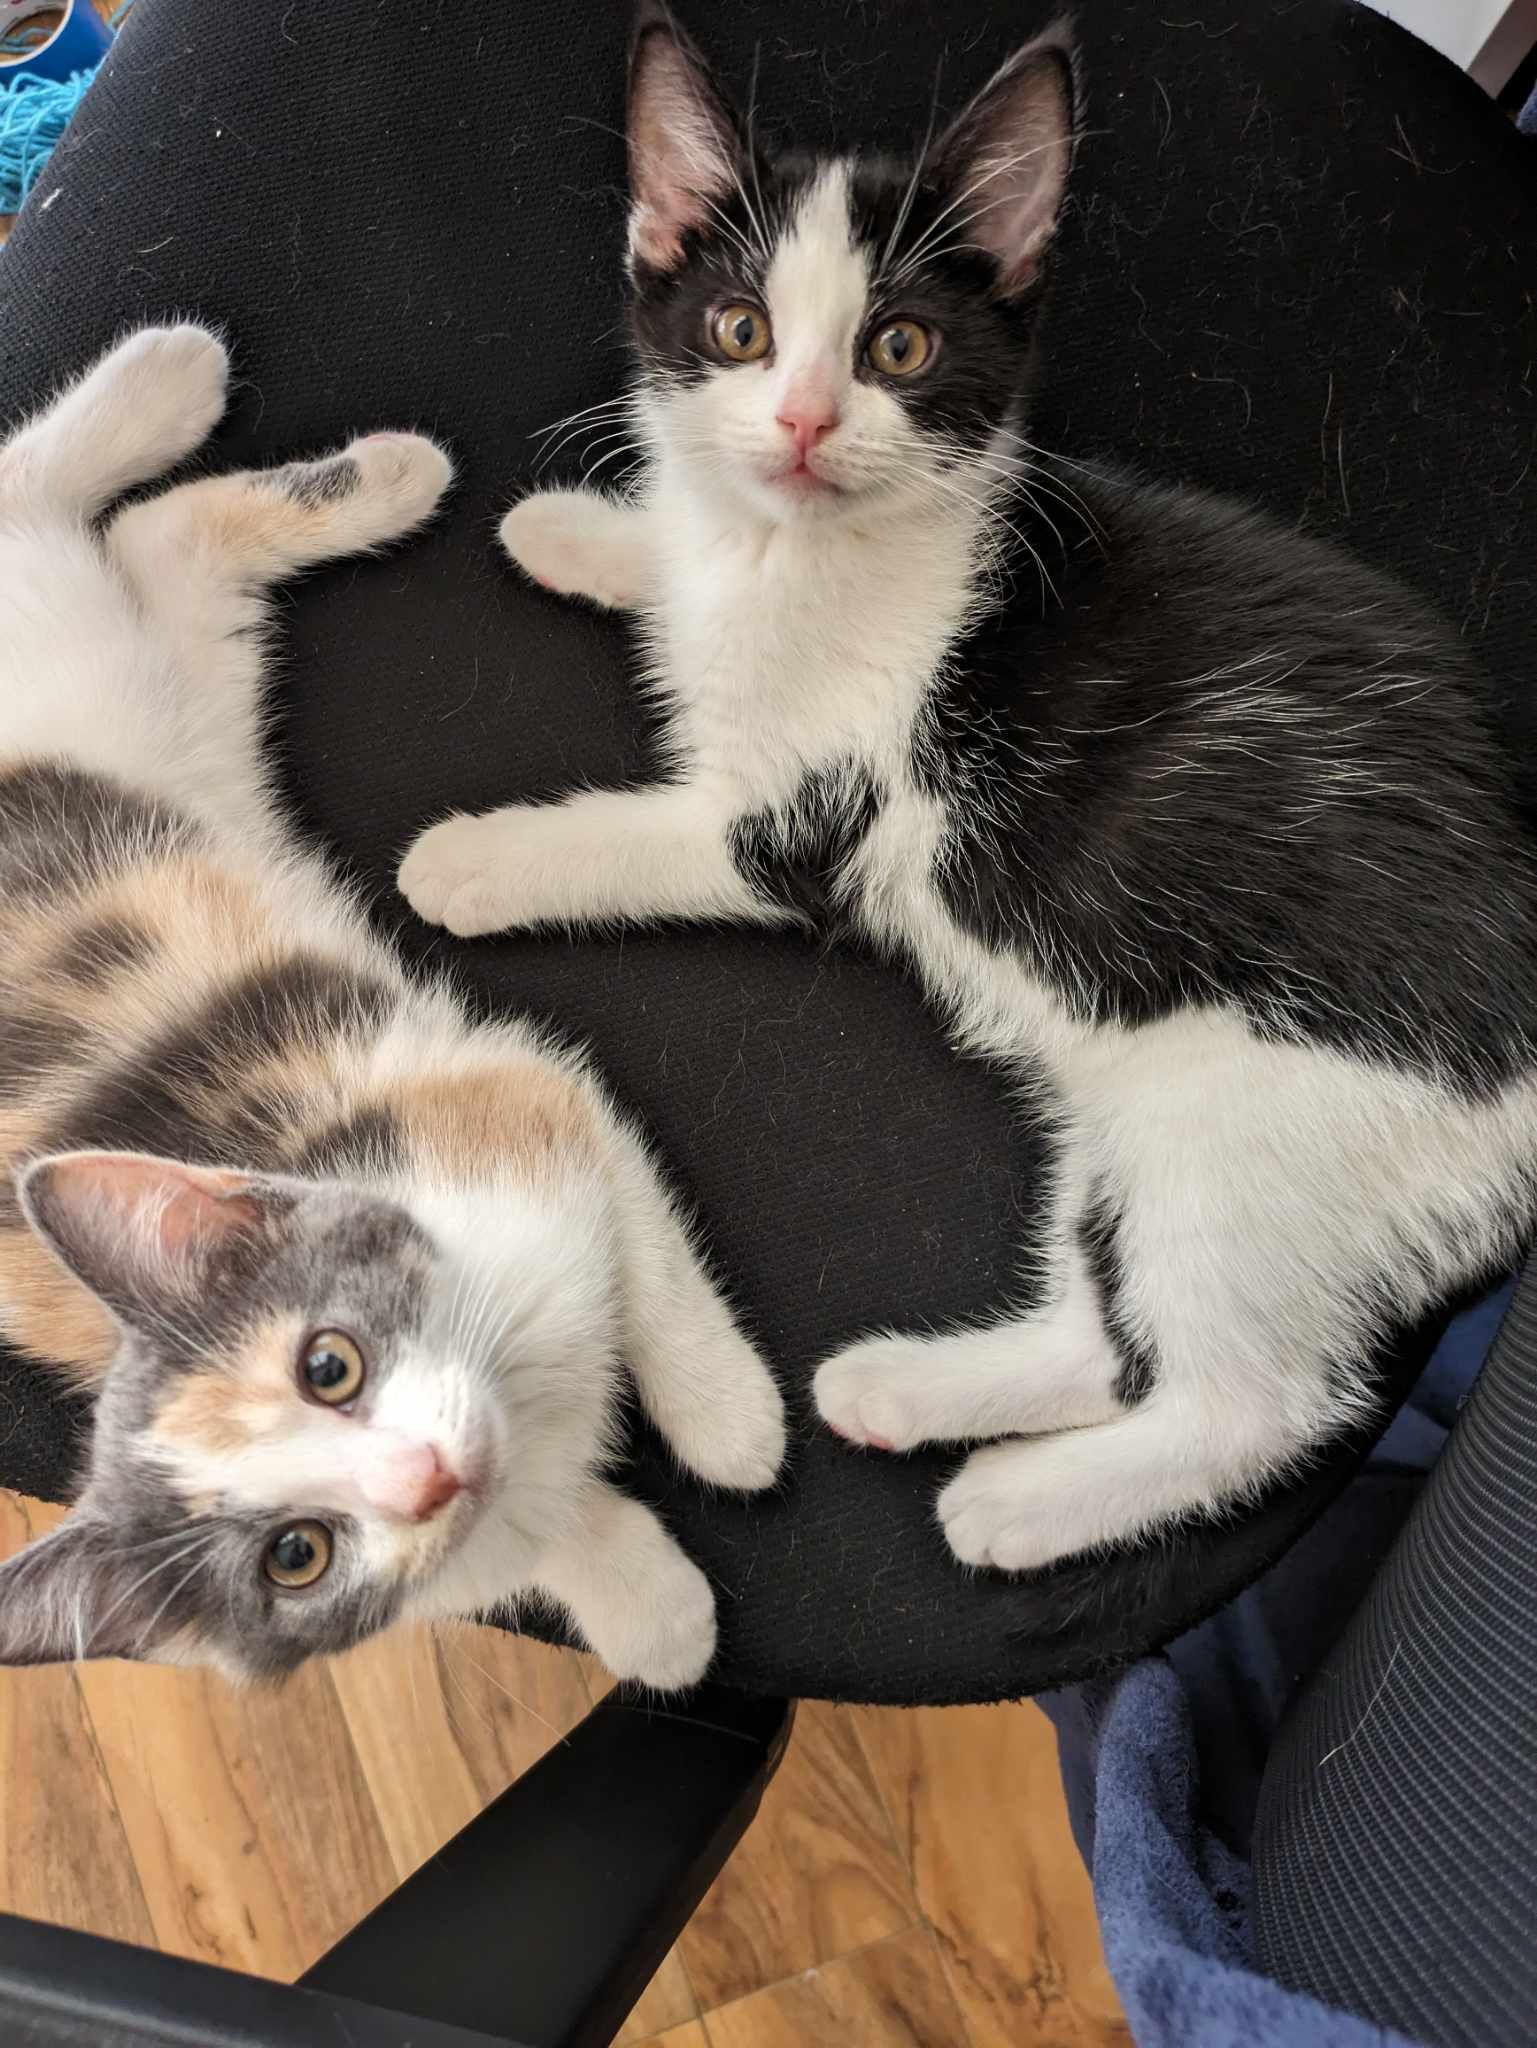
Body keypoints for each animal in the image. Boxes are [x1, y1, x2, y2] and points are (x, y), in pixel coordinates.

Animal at [0, 324, 785, 1688]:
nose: (421, 1480)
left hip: (103, 677)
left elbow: (647, 1259)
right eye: (296, 1554)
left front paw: (728, 1414)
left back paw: (218, 396)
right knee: (159, 535)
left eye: (329, 1364)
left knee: (51, 497)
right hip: (190, 717)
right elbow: (537, 1533)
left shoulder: (516, 1086)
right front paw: (645, 1600)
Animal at [399, 7, 1537, 1578]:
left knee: (1245, 1403)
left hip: (1252, 1118)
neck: (811, 552)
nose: (804, 423)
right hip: (1127, 1110)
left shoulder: (804, 823)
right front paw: (589, 533)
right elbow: (681, 562)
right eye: (742, 330)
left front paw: (474, 859)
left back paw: (1012, 1503)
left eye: (900, 345)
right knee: (1111, 1335)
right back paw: (907, 1391)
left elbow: (636, 836)